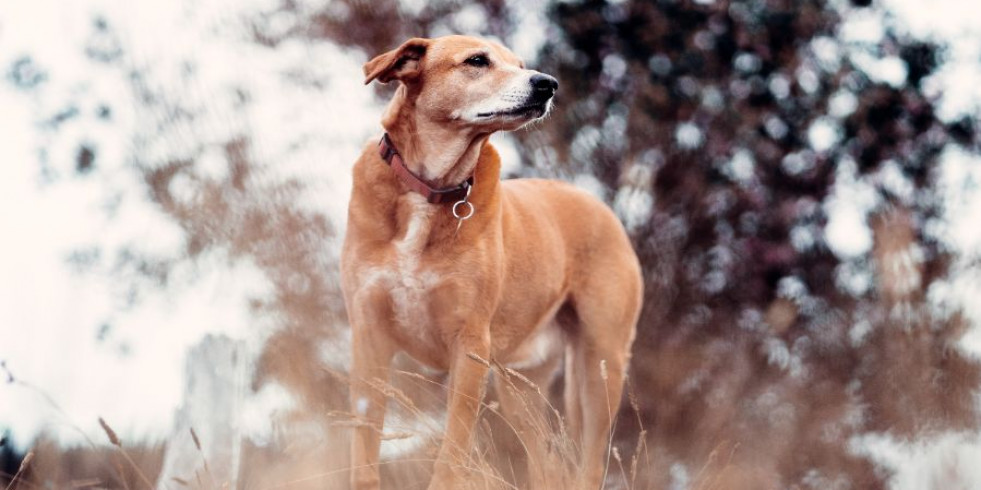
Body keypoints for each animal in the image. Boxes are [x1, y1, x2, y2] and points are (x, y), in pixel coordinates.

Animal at [338, 35, 644, 490]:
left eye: (520, 63)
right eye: (477, 61)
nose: (547, 84)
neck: (429, 188)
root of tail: (600, 207)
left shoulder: (470, 347)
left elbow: (452, 452)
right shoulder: (369, 335)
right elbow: (364, 450)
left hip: (600, 365)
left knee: (589, 464)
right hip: (520, 389)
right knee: (548, 465)